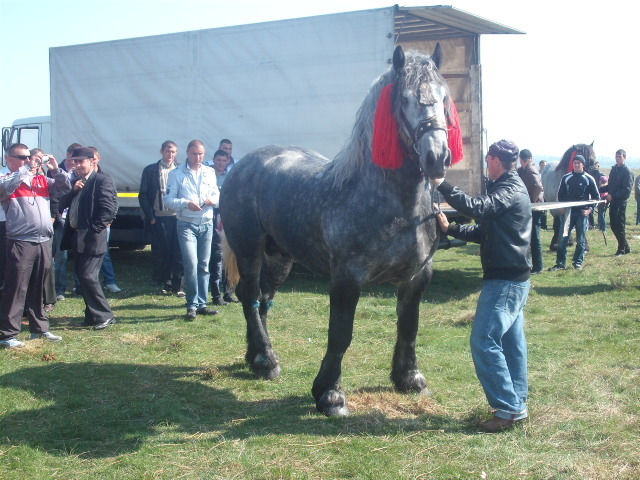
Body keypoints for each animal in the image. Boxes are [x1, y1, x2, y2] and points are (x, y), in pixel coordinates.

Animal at [220, 45, 460, 416]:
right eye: (404, 99)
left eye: (444, 97)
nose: (437, 157)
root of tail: (244, 164)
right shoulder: (347, 278)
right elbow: (341, 334)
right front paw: (329, 394)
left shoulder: (417, 277)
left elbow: (409, 326)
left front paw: (410, 379)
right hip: (248, 248)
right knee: (248, 295)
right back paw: (264, 361)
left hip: (280, 257)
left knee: (262, 299)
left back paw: (259, 356)